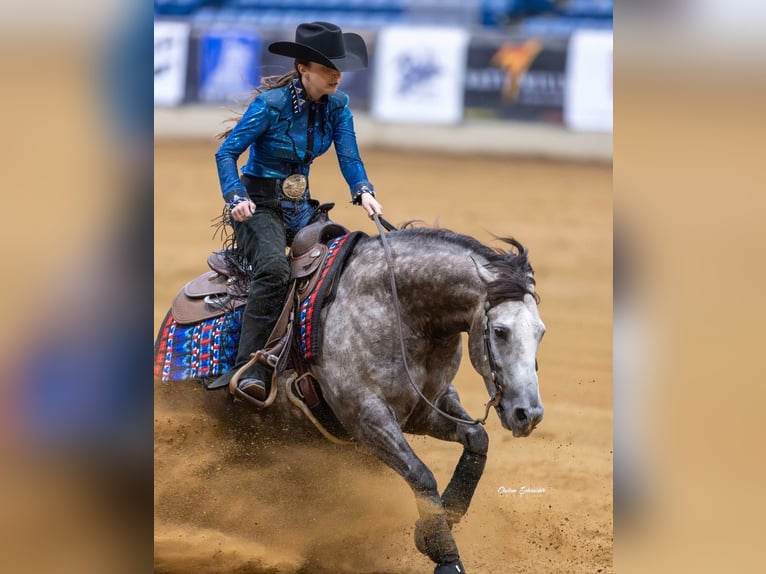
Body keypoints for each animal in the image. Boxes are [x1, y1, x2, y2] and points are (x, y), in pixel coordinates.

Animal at [155, 224, 545, 574]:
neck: (399, 309)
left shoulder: (426, 408)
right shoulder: (366, 417)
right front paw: (443, 554)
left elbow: (478, 439)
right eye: (500, 330)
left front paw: (442, 520)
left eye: (541, 331)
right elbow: (420, 474)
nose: (528, 413)